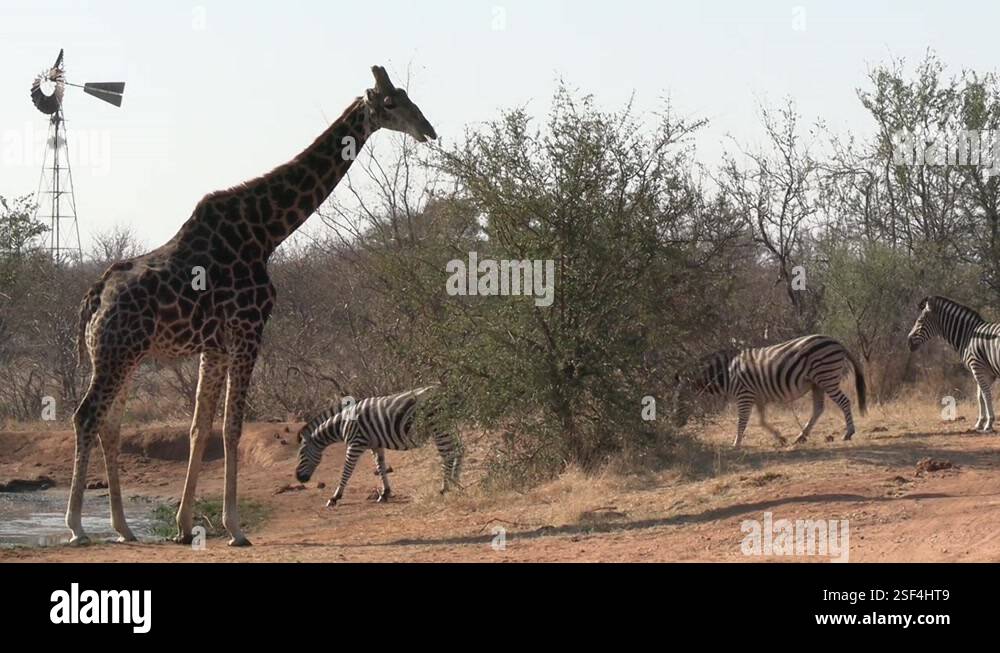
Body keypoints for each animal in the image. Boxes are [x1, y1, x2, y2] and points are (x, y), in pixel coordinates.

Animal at [67, 66, 437, 547]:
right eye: (391, 103)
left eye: (408, 96)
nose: (428, 129)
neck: (267, 232)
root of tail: (93, 298)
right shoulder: (248, 330)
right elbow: (232, 426)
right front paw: (234, 527)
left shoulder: (216, 345)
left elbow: (199, 427)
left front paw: (184, 526)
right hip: (116, 352)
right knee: (85, 416)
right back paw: (77, 527)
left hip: (122, 356)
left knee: (109, 425)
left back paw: (124, 529)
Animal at [295, 385, 463, 506]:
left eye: (301, 454)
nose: (298, 478)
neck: (343, 423)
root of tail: (444, 391)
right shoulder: (375, 445)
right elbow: (380, 467)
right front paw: (385, 494)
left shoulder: (355, 444)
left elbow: (346, 471)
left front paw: (335, 497)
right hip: (449, 426)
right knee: (459, 449)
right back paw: (456, 483)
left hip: (438, 427)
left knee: (448, 454)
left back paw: (445, 488)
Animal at [677, 334, 867, 447]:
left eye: (680, 400)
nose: (677, 424)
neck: (727, 373)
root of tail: (837, 342)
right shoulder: (757, 397)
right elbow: (761, 421)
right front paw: (780, 438)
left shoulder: (744, 395)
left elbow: (742, 421)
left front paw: (736, 443)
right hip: (817, 383)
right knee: (818, 409)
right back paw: (801, 436)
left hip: (826, 378)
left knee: (844, 402)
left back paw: (848, 433)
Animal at [907, 295, 1000, 434]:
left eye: (920, 321)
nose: (908, 342)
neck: (968, 336)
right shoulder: (986, 373)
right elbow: (980, 396)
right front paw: (980, 423)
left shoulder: (978, 368)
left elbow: (985, 395)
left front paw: (988, 424)